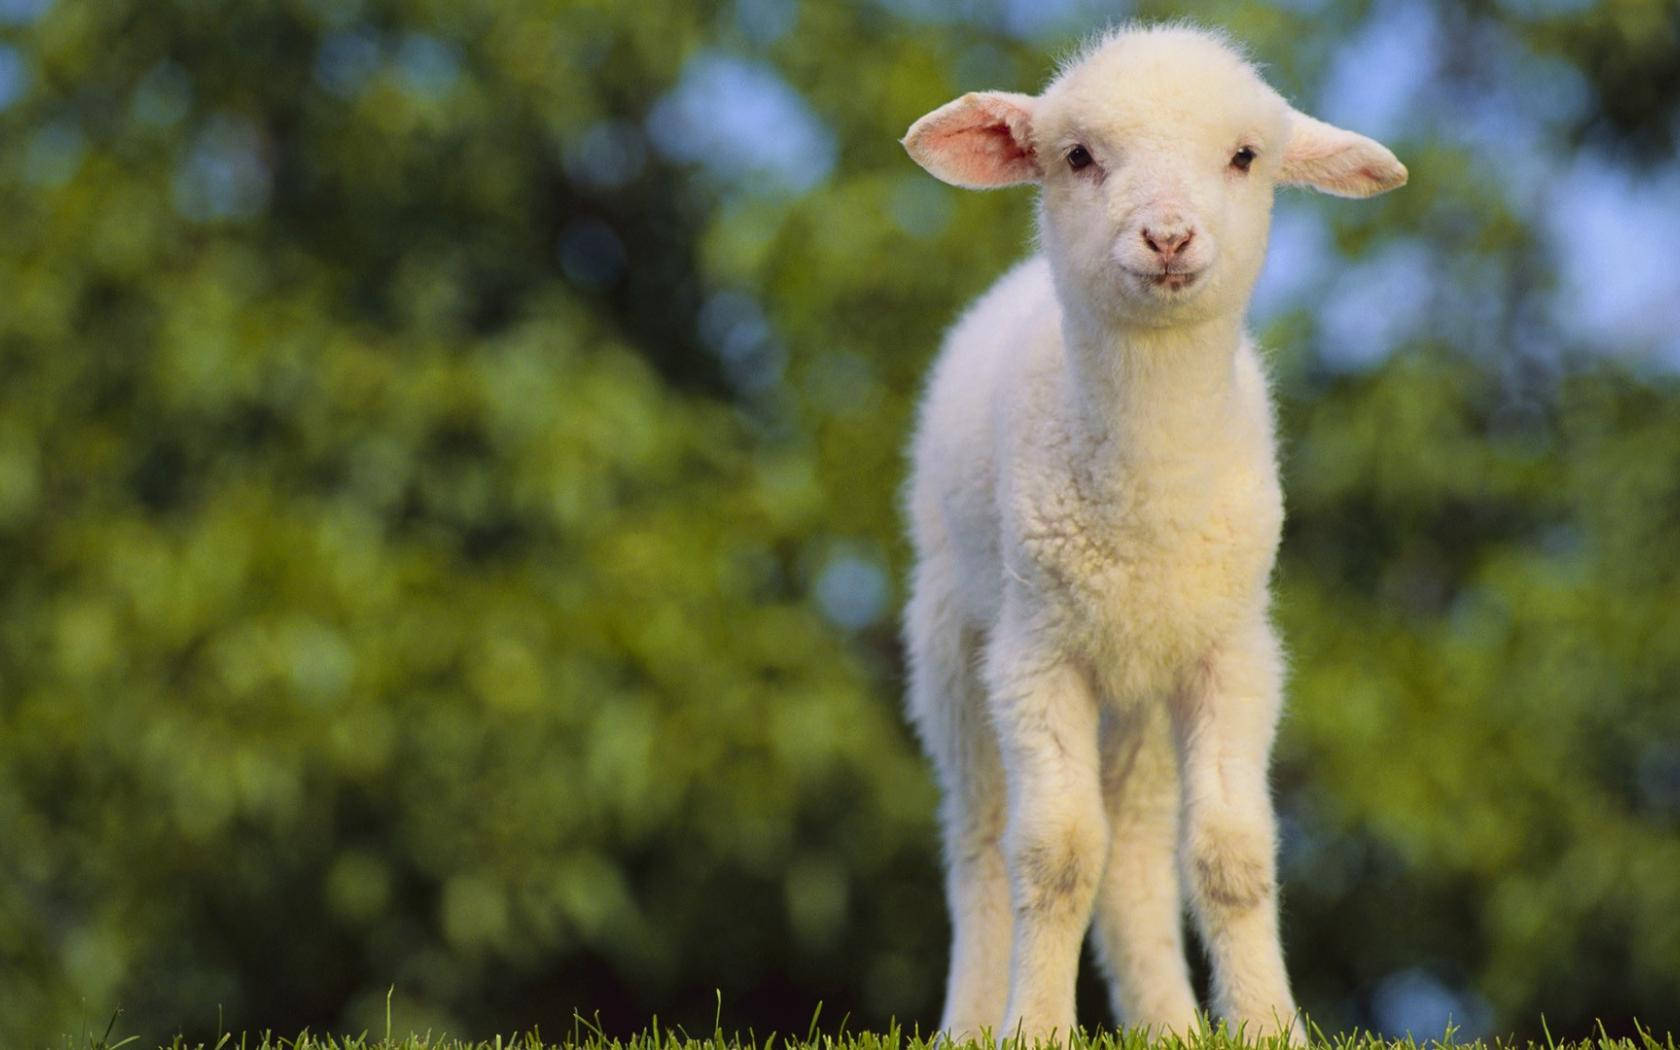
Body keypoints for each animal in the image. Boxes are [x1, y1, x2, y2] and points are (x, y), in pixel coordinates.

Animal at [898, 24, 1406, 1046]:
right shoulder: (1036, 655)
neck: (1151, 502)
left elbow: (1231, 854)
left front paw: (1271, 1027)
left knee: (1134, 852)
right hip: (950, 643)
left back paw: (1168, 1022)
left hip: (1141, 692)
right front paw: (1035, 1027)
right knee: (978, 841)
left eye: (1245, 157)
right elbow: (1053, 854)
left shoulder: (1233, 652)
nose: (1168, 235)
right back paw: (971, 1020)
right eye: (1077, 157)